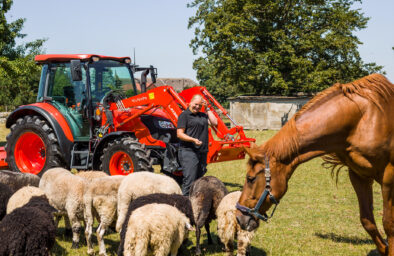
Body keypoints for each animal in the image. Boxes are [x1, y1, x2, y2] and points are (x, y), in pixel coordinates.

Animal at [235, 73, 394, 255]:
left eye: (251, 178)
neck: (364, 119)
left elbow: (389, 224)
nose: (239, 217)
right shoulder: (359, 176)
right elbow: (367, 221)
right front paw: (384, 248)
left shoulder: (388, 178)